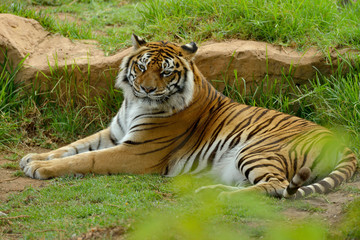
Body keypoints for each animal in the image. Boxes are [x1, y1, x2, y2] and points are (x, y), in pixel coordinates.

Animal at [20, 33, 358, 199]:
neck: (134, 103)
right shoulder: (114, 133)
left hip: (257, 150)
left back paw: (215, 194)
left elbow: (85, 158)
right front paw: (33, 157)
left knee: (276, 186)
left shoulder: (137, 152)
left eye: (166, 72)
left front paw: (40, 168)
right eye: (142, 66)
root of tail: (344, 144)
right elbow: (73, 146)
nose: (146, 89)